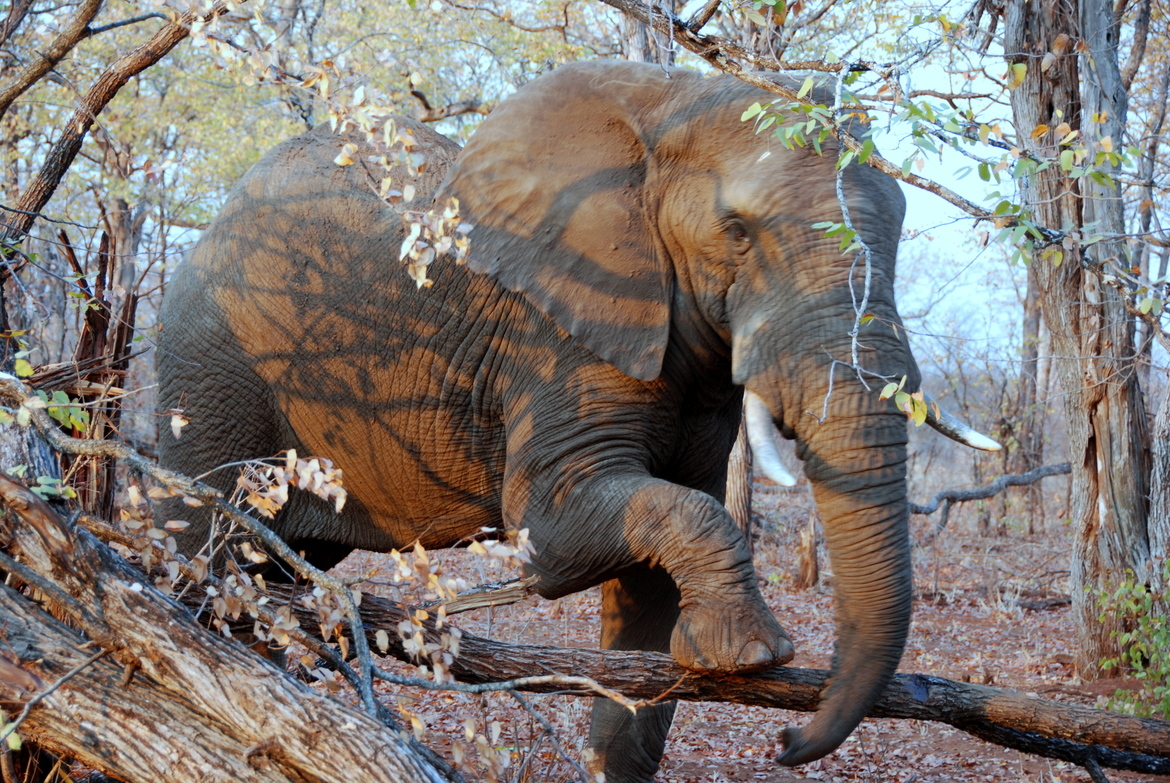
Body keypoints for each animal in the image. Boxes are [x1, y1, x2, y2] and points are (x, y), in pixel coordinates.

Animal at [156, 60, 996, 781]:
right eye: (738, 231)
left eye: (898, 223)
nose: (789, 741)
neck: (664, 109)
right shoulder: (554, 337)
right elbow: (555, 533)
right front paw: (754, 653)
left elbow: (652, 585)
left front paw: (703, 660)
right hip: (209, 369)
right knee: (204, 546)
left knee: (275, 565)